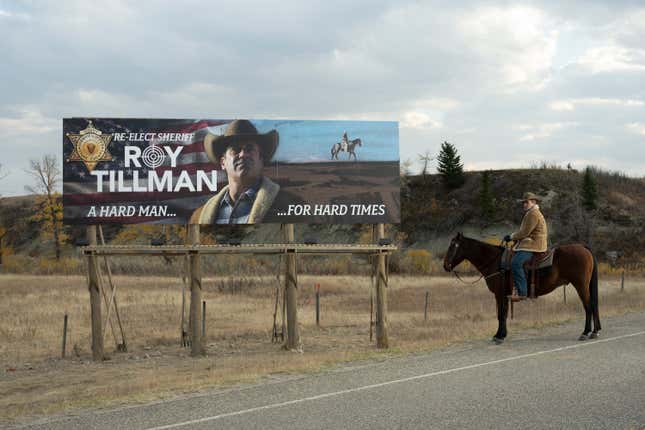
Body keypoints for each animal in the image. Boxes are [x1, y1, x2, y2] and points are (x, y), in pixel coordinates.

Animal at [442, 233, 600, 344]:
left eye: (453, 246)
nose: (445, 266)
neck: (496, 262)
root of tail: (584, 248)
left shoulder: (499, 294)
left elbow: (501, 314)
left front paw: (498, 336)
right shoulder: (505, 295)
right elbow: (504, 314)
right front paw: (502, 334)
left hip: (580, 285)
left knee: (588, 306)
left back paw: (585, 332)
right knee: (593, 305)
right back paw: (595, 331)